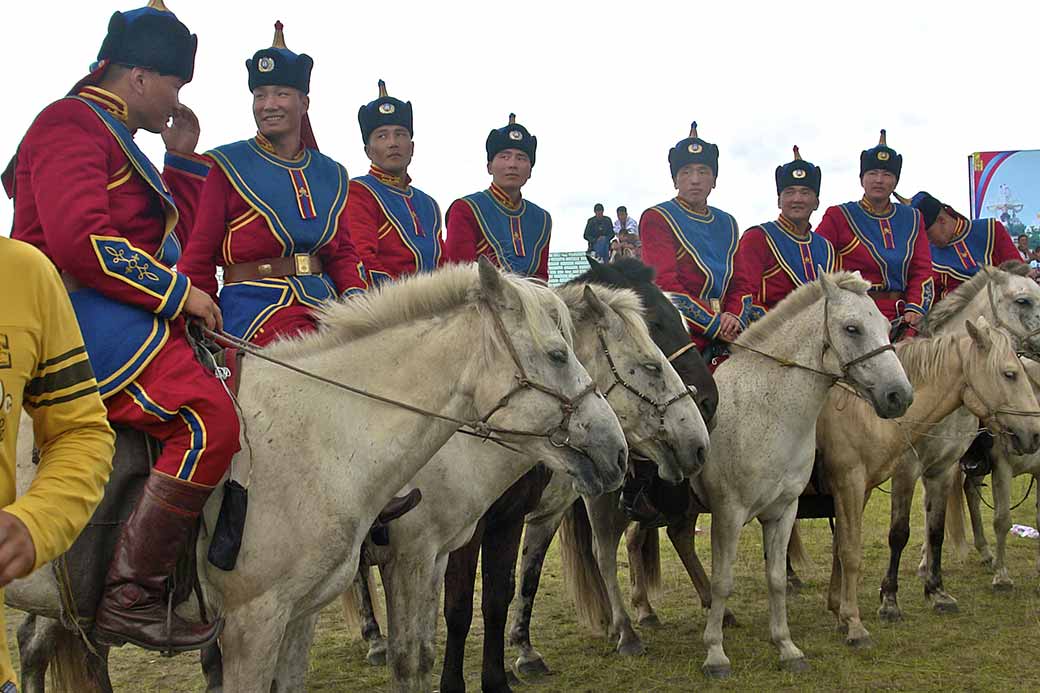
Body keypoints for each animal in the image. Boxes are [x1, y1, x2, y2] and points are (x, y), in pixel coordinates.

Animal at [694, 270, 915, 674]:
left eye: (886, 327)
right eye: (851, 328)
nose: (899, 396)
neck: (765, 409)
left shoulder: (783, 511)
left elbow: (777, 578)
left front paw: (786, 646)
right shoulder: (727, 514)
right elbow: (723, 581)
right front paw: (715, 653)